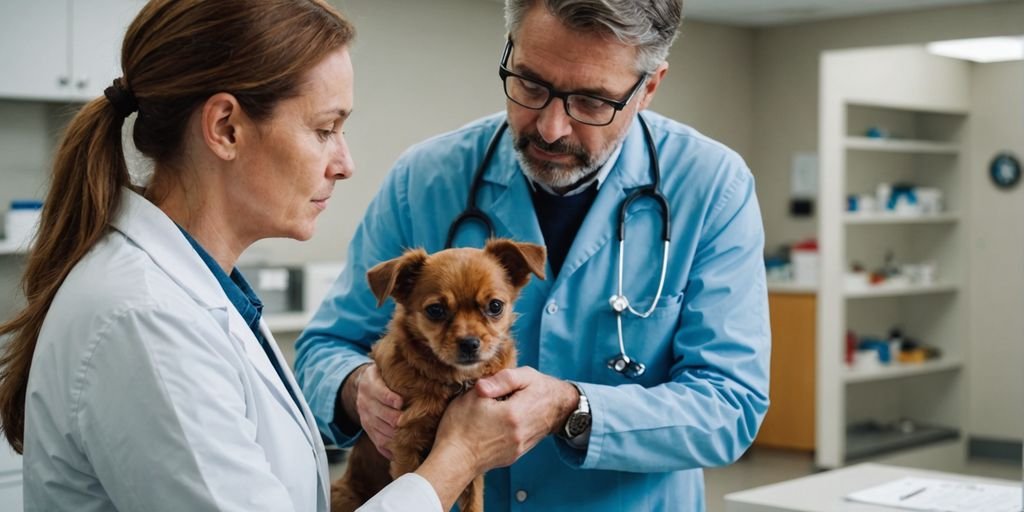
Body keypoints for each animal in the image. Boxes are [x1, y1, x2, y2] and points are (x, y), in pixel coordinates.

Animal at [331, 237, 548, 509]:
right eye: (435, 310)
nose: (469, 343)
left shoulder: (474, 464)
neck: (454, 381)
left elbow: (473, 501)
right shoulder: (405, 446)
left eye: (495, 306)